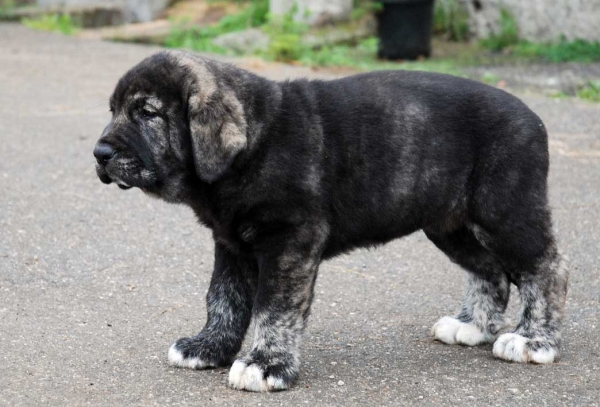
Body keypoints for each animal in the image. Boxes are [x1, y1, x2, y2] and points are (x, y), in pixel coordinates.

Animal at [92, 50, 568, 392]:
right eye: (114, 109)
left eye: (147, 113)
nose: (100, 154)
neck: (253, 146)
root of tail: (536, 120)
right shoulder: (230, 243)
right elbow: (223, 297)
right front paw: (209, 347)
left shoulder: (290, 241)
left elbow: (274, 307)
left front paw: (266, 365)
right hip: (451, 224)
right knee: (490, 270)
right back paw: (473, 326)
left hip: (504, 212)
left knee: (546, 268)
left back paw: (534, 340)